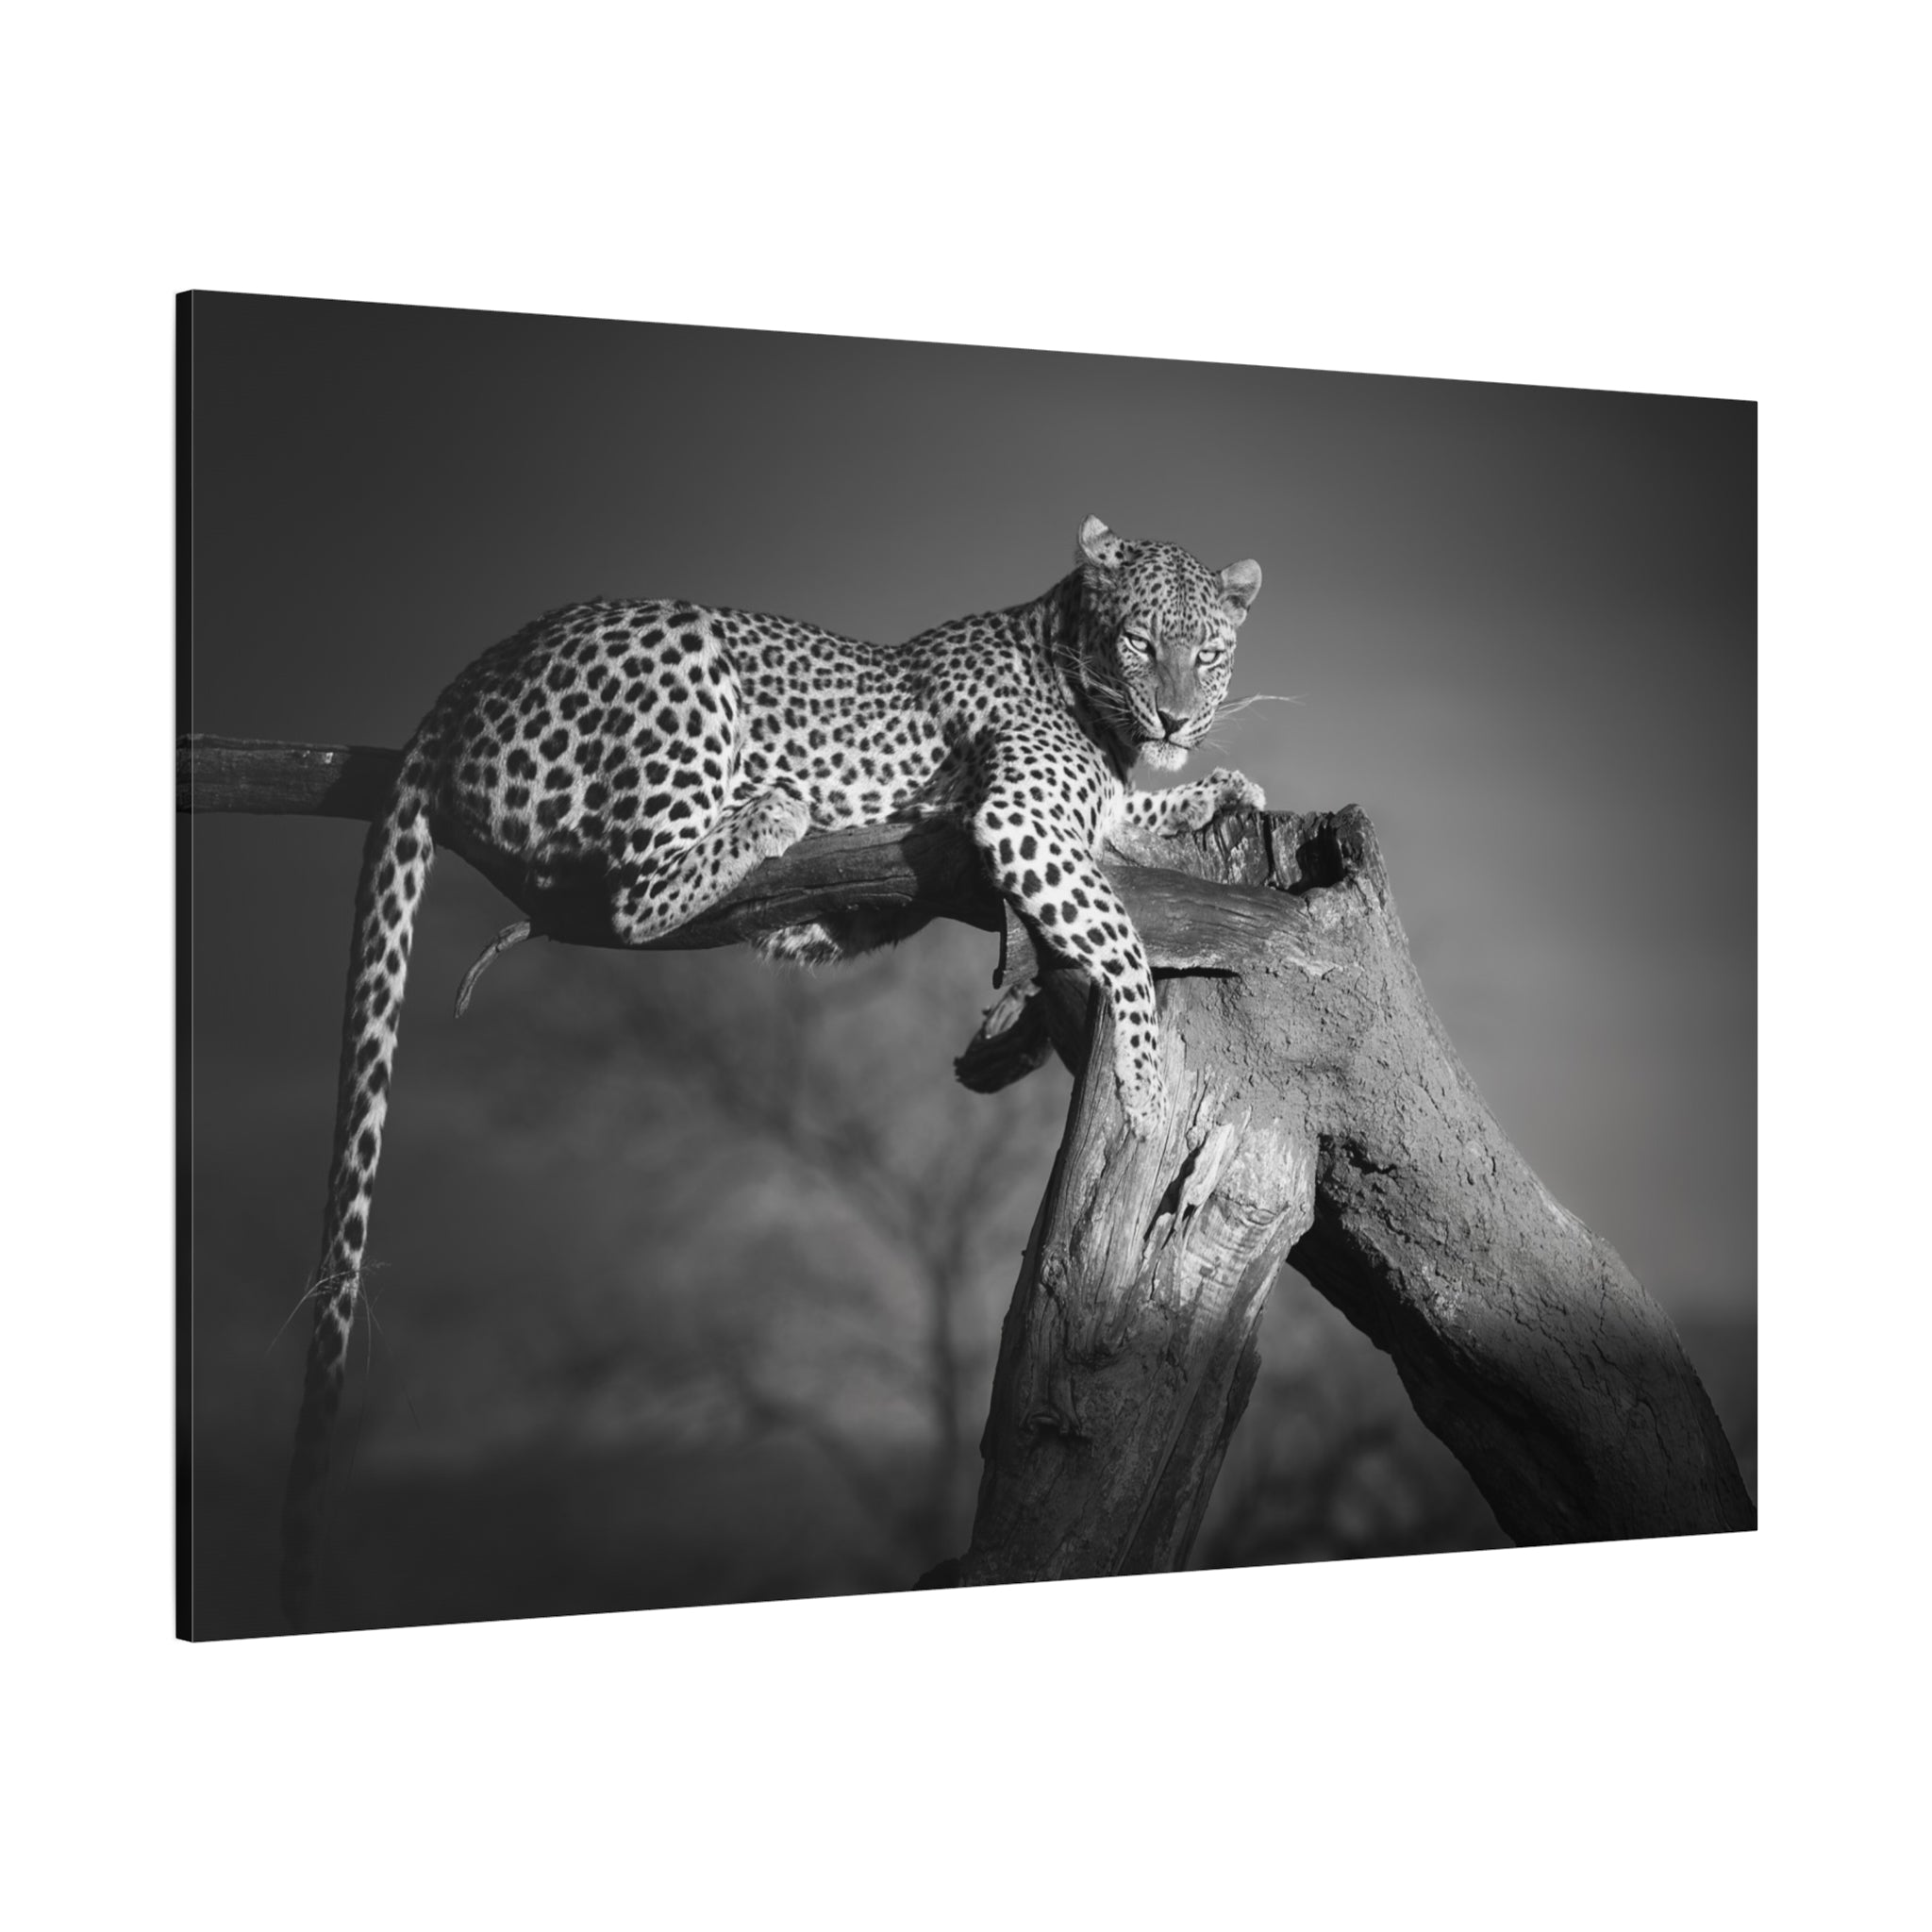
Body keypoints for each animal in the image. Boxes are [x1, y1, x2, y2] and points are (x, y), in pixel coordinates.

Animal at [279, 515, 1264, 1628]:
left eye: (1208, 652)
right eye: (1140, 643)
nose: (1175, 712)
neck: (1080, 676)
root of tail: (467, 678)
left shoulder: (1077, 818)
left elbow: (1133, 820)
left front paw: (1217, 789)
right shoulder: (1022, 820)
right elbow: (1124, 940)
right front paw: (1143, 1080)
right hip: (680, 673)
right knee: (627, 897)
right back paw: (771, 812)